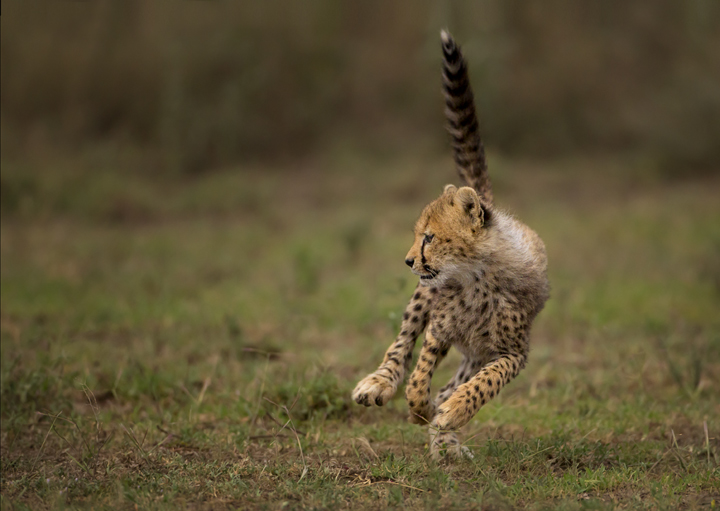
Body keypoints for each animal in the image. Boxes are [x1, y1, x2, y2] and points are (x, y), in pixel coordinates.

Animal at [351, 30, 550, 459]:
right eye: (416, 235)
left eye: (429, 237)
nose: (408, 261)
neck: (478, 279)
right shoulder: (439, 330)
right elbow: (418, 375)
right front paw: (418, 408)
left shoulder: (512, 352)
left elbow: (485, 382)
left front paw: (453, 412)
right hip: (423, 302)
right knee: (402, 346)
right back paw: (380, 384)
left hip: (475, 350)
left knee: (454, 382)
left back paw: (447, 438)